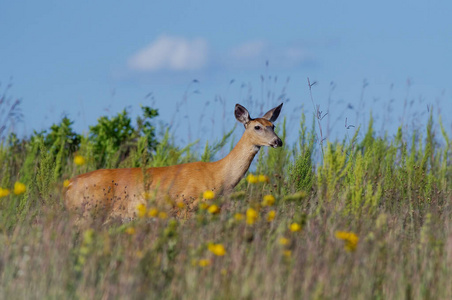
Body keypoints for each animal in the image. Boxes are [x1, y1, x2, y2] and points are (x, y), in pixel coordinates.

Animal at [63, 103, 282, 223]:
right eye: (257, 127)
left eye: (273, 125)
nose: (278, 141)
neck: (218, 176)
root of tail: (69, 184)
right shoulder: (186, 207)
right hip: (87, 212)